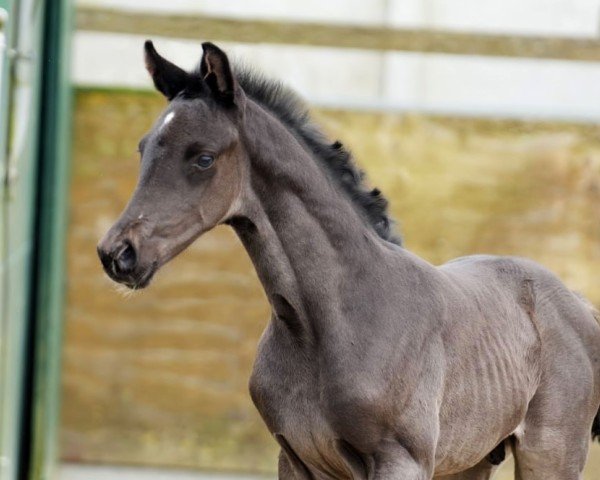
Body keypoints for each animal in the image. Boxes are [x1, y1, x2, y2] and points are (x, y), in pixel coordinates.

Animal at [98, 42, 600, 480]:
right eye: (145, 148)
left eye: (203, 157)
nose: (117, 253)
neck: (326, 322)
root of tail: (578, 303)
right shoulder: (297, 458)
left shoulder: (401, 460)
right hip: (470, 460)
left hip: (549, 454)